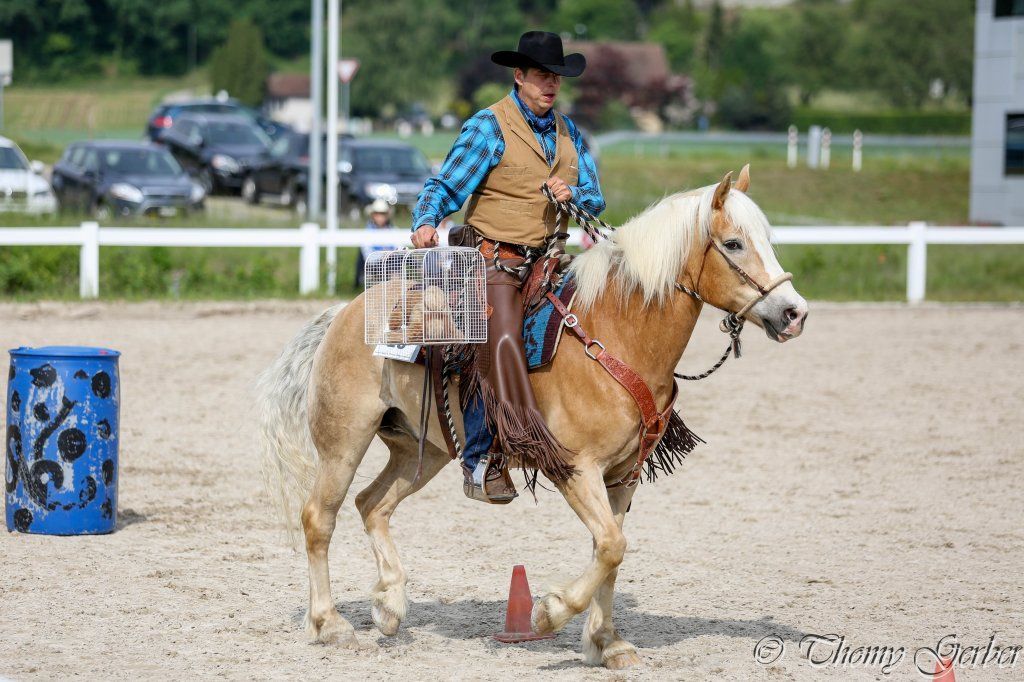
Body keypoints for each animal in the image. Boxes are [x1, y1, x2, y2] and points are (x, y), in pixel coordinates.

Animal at [257, 166, 809, 670]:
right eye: (734, 244)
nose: (794, 313)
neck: (614, 333)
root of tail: (344, 313)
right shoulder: (575, 468)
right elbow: (611, 545)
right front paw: (549, 612)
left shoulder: (622, 478)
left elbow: (610, 551)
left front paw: (607, 643)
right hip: (345, 440)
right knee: (320, 518)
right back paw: (331, 624)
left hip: (424, 450)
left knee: (372, 505)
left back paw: (390, 606)